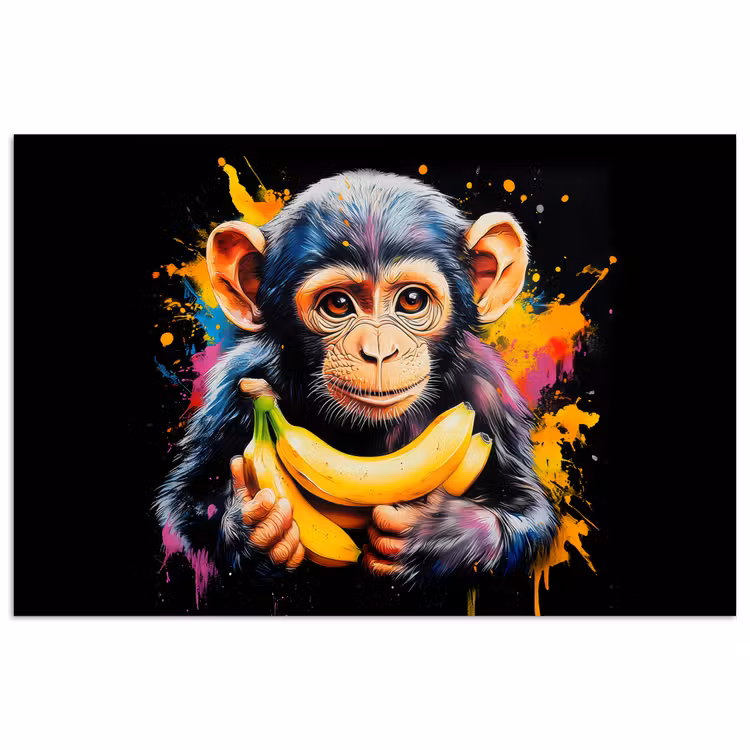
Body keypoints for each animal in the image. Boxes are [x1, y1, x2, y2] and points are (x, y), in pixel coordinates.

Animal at [156, 170, 558, 589]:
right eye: (337, 304)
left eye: (412, 300)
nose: (379, 351)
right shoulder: (234, 387)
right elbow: (186, 504)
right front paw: (257, 530)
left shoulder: (488, 390)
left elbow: (528, 508)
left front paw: (436, 536)